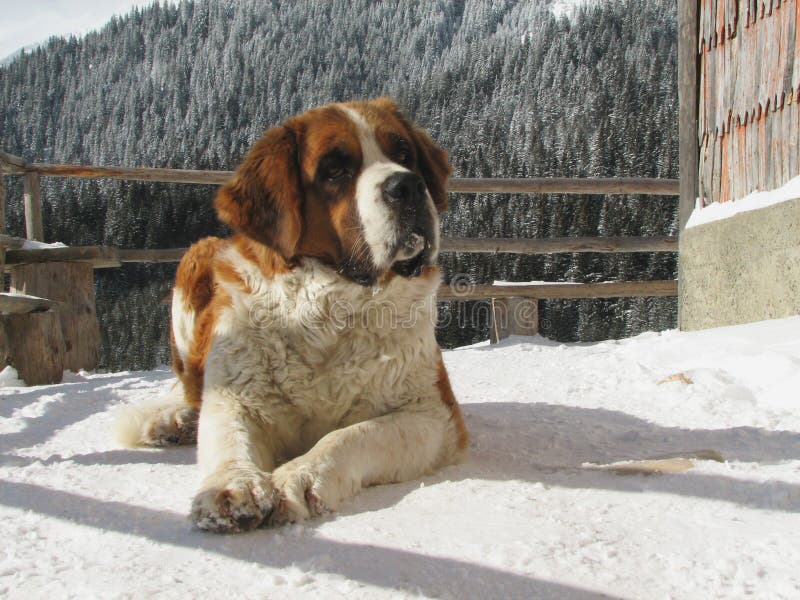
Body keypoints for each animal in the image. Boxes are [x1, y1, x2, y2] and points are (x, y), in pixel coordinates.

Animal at [117, 98, 468, 536]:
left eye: (404, 154)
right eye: (335, 170)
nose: (408, 186)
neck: (332, 306)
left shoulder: (434, 416)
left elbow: (351, 435)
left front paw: (297, 478)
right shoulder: (235, 395)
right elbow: (229, 435)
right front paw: (233, 486)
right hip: (197, 257)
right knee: (187, 387)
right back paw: (172, 419)